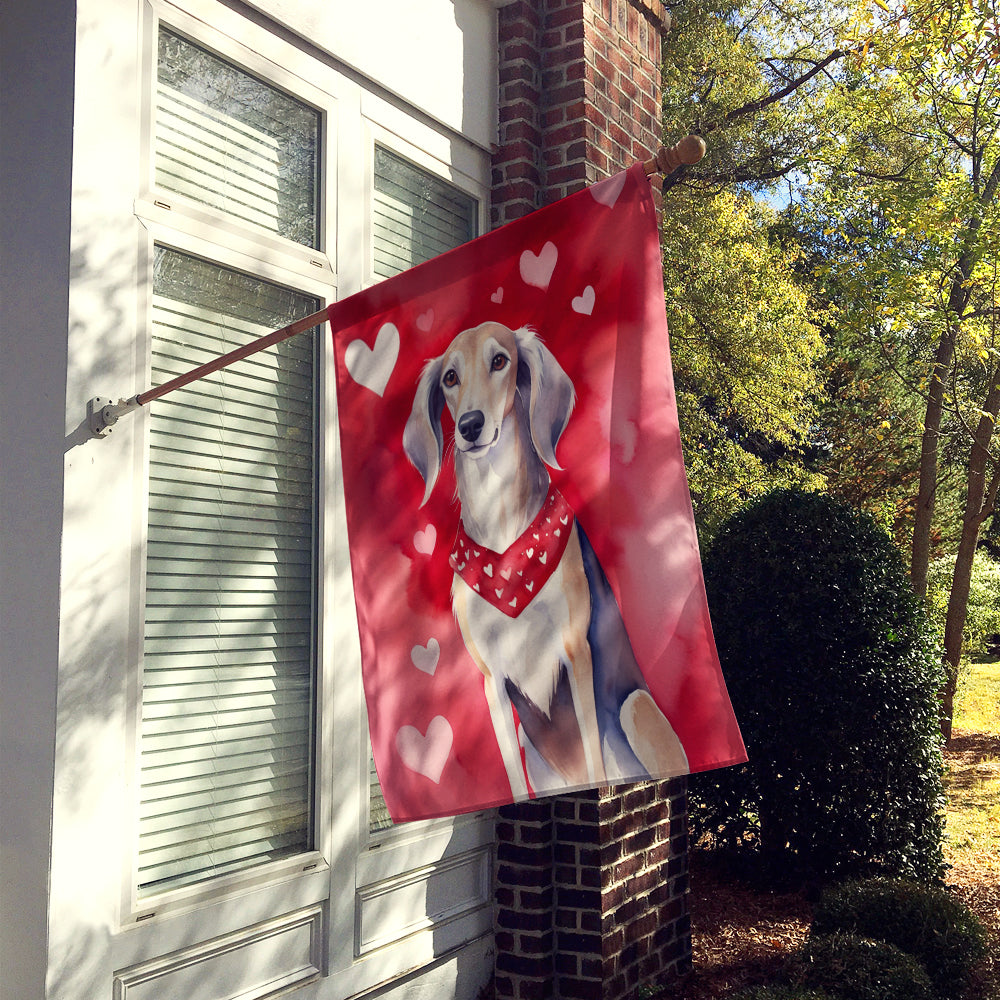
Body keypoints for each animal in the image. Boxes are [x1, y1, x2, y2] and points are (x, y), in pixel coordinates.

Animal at [400, 320, 688, 796]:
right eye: (450, 377)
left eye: (500, 360)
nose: (470, 425)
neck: (505, 547)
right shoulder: (492, 682)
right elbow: (515, 783)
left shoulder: (575, 653)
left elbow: (593, 754)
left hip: (635, 706)